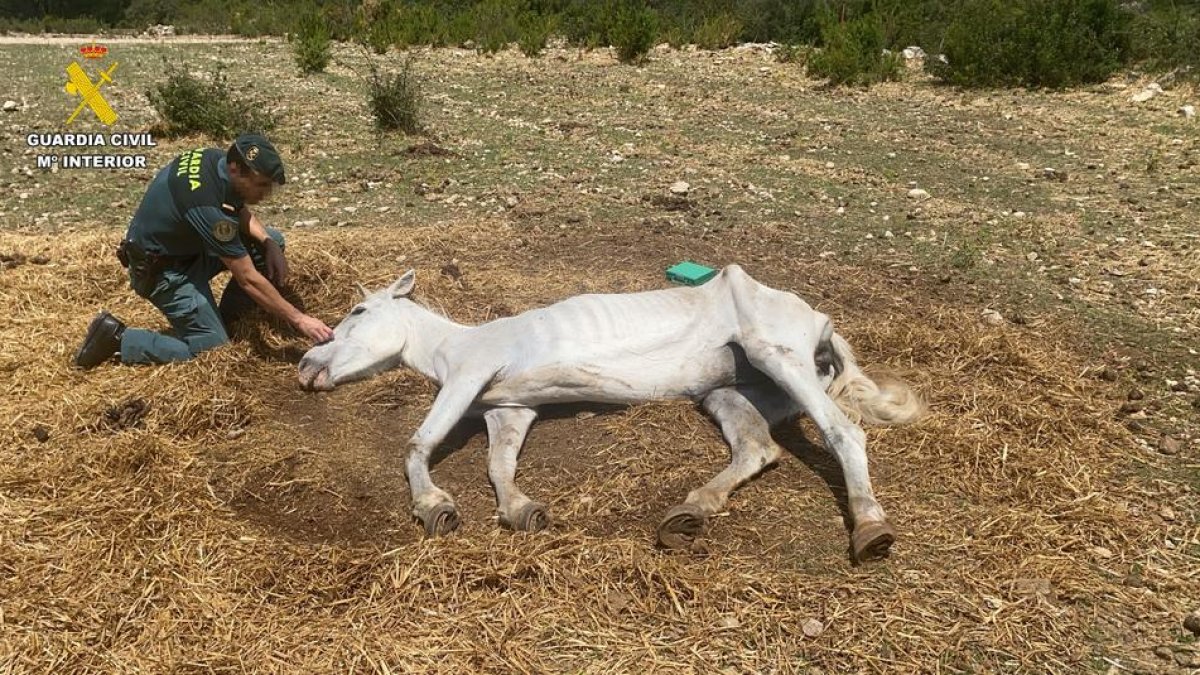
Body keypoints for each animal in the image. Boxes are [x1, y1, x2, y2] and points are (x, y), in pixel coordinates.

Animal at [297, 265, 916, 559]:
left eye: (357, 310)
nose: (305, 364)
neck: (455, 342)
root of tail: (821, 322)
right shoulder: (510, 409)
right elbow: (499, 466)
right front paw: (522, 510)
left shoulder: (470, 377)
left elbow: (418, 442)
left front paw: (434, 507)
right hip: (727, 391)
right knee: (757, 447)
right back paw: (688, 513)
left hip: (775, 354)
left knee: (844, 431)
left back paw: (871, 530)